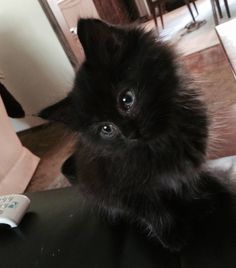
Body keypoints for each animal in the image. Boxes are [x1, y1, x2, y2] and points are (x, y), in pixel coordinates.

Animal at [39, 18, 233, 251]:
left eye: (126, 99)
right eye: (106, 129)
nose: (132, 134)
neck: (161, 142)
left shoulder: (189, 163)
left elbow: (190, 183)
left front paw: (206, 197)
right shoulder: (124, 191)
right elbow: (154, 212)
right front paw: (173, 236)